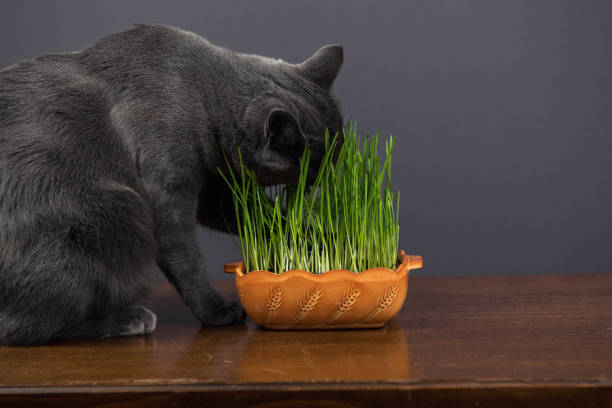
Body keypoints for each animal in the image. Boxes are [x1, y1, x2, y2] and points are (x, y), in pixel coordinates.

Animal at [0, 23, 344, 346]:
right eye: (313, 167)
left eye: (338, 152)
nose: (332, 176)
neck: (204, 96)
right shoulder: (167, 193)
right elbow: (185, 257)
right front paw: (216, 312)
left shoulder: (213, 190)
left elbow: (264, 216)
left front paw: (322, 238)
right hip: (120, 212)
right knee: (24, 330)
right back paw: (129, 320)